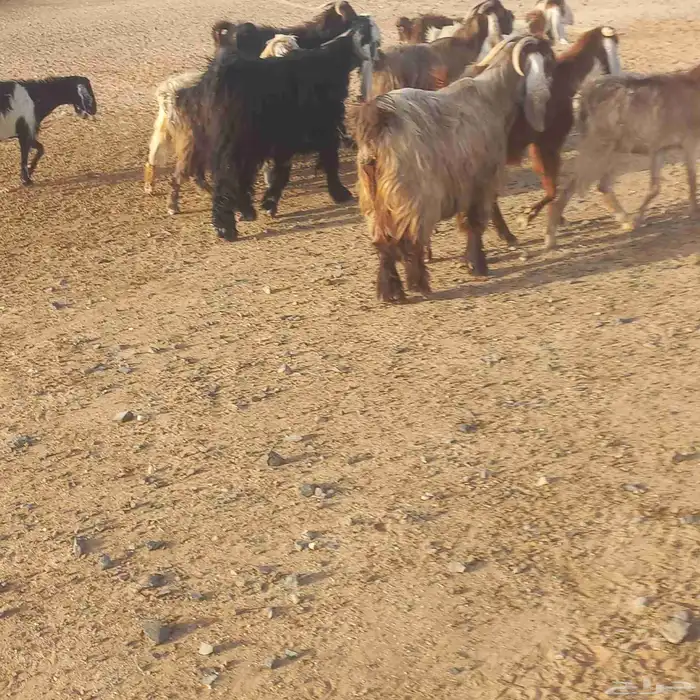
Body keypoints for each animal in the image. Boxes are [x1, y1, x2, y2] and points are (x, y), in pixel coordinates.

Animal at [143, 33, 299, 211]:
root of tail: (167, 92)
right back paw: (173, 204)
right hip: (190, 139)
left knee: (157, 158)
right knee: (183, 171)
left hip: (166, 131)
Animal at [193, 23, 374, 241]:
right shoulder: (323, 131)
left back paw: (246, 212)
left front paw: (269, 202)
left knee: (238, 179)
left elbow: (282, 171)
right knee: (228, 179)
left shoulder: (287, 142)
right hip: (235, 144)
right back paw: (226, 228)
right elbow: (329, 161)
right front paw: (340, 193)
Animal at [354, 36, 554, 302]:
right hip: (411, 196)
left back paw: (390, 291)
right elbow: (475, 224)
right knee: (408, 241)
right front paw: (477, 264)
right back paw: (418, 283)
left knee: (383, 244)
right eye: (550, 61)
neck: (492, 97)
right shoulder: (480, 182)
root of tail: (377, 119)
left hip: (374, 199)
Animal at [545, 62, 700, 249]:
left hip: (613, 151)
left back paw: (626, 220)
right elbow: (691, 180)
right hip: (603, 150)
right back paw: (550, 237)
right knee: (577, 186)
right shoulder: (689, 143)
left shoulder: (660, 149)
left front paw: (638, 218)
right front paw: (694, 213)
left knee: (599, 185)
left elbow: (655, 187)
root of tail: (585, 96)